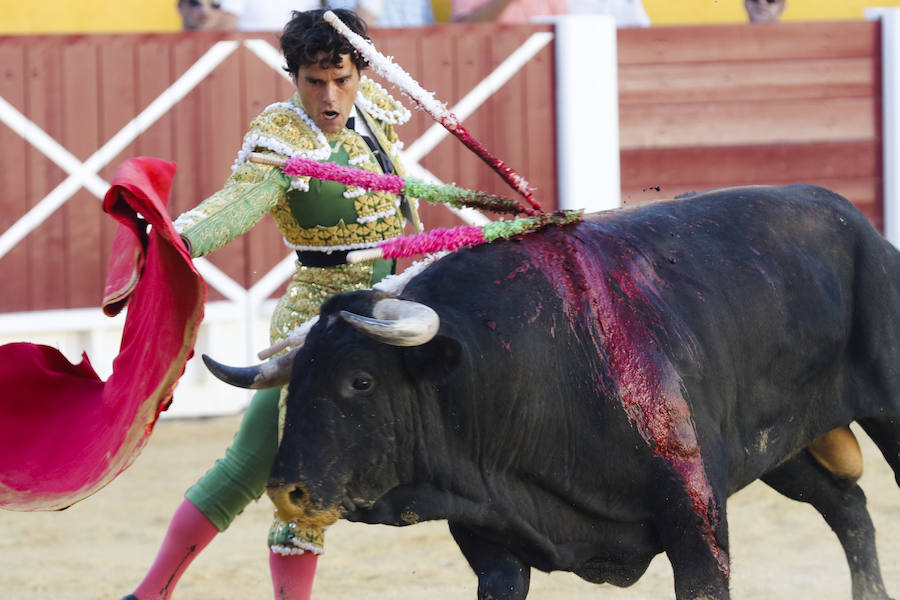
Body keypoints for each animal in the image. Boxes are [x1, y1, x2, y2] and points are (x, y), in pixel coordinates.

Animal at [206, 185, 900, 596]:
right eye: (298, 382)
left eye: (361, 380)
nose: (287, 491)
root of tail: (855, 221)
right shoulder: (491, 538)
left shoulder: (695, 514)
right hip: (782, 448)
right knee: (848, 509)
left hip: (884, 410)